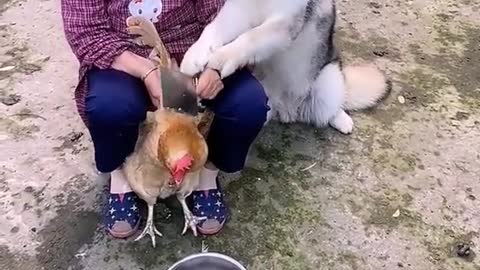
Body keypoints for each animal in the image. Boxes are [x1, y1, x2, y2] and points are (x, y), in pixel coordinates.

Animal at [180, 0, 390, 134]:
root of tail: (290, 108)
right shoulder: (238, 10)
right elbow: (213, 28)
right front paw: (195, 54)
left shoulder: (284, 22)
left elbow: (251, 37)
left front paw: (223, 58)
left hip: (327, 81)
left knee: (331, 106)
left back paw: (341, 119)